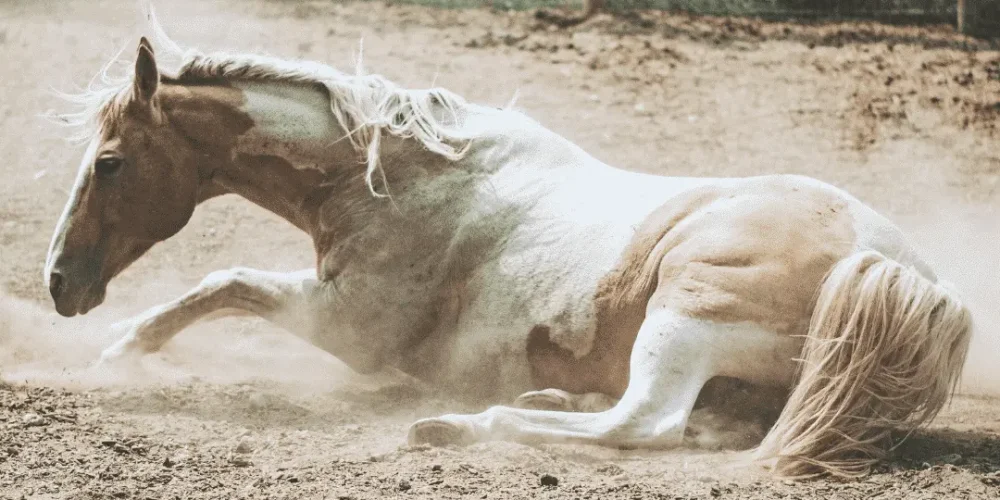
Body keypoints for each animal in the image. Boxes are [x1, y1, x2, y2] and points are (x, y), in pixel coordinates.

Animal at [43, 11, 972, 478]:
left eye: (110, 162)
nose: (58, 283)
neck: (393, 177)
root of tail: (895, 270)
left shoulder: (346, 328)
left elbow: (223, 280)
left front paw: (119, 352)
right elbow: (221, 283)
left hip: (684, 316)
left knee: (649, 423)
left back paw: (458, 425)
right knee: (698, 424)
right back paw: (545, 397)